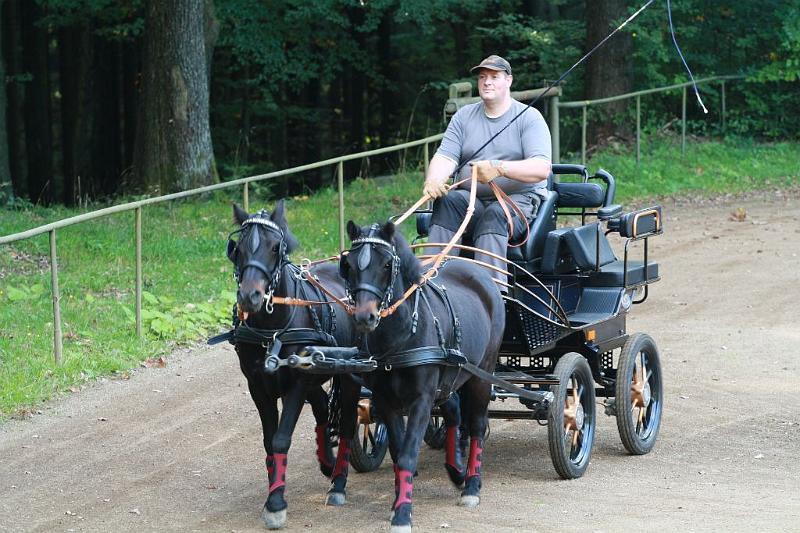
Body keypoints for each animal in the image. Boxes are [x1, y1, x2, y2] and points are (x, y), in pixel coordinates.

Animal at [227, 202, 360, 528]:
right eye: (238, 249)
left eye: (275, 247)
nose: (249, 296)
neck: (273, 329)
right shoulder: (257, 385)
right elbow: (268, 441)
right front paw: (273, 494)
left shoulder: (297, 384)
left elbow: (280, 439)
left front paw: (276, 504)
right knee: (323, 407)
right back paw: (326, 461)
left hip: (351, 373)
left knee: (348, 423)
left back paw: (338, 483)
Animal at [340, 218, 504, 528]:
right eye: (349, 265)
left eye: (386, 264)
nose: (365, 317)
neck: (401, 336)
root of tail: (478, 270)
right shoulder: (386, 400)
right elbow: (398, 452)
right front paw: (398, 503)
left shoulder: (421, 400)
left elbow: (407, 454)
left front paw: (403, 513)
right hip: (452, 376)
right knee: (453, 412)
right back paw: (456, 469)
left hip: (482, 373)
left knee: (477, 425)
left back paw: (471, 485)